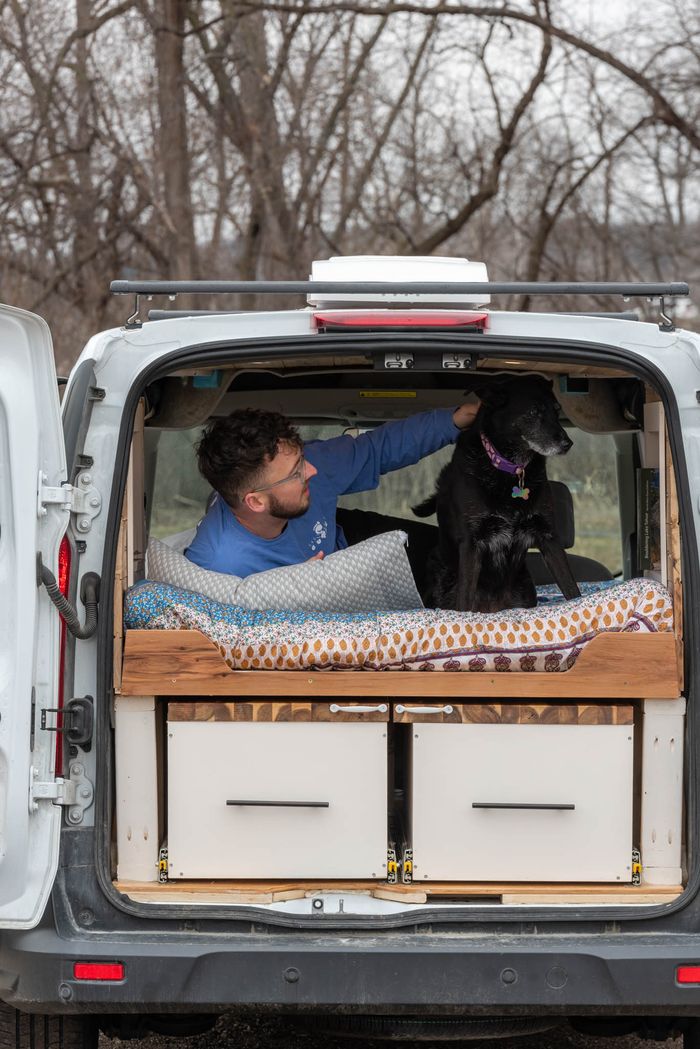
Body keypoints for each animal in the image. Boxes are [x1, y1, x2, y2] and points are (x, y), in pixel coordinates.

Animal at [415, 377, 579, 612]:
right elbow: (464, 602)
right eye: (533, 412)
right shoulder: (471, 543)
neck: (511, 468)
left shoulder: (549, 536)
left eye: (557, 411)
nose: (567, 444)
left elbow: (572, 588)